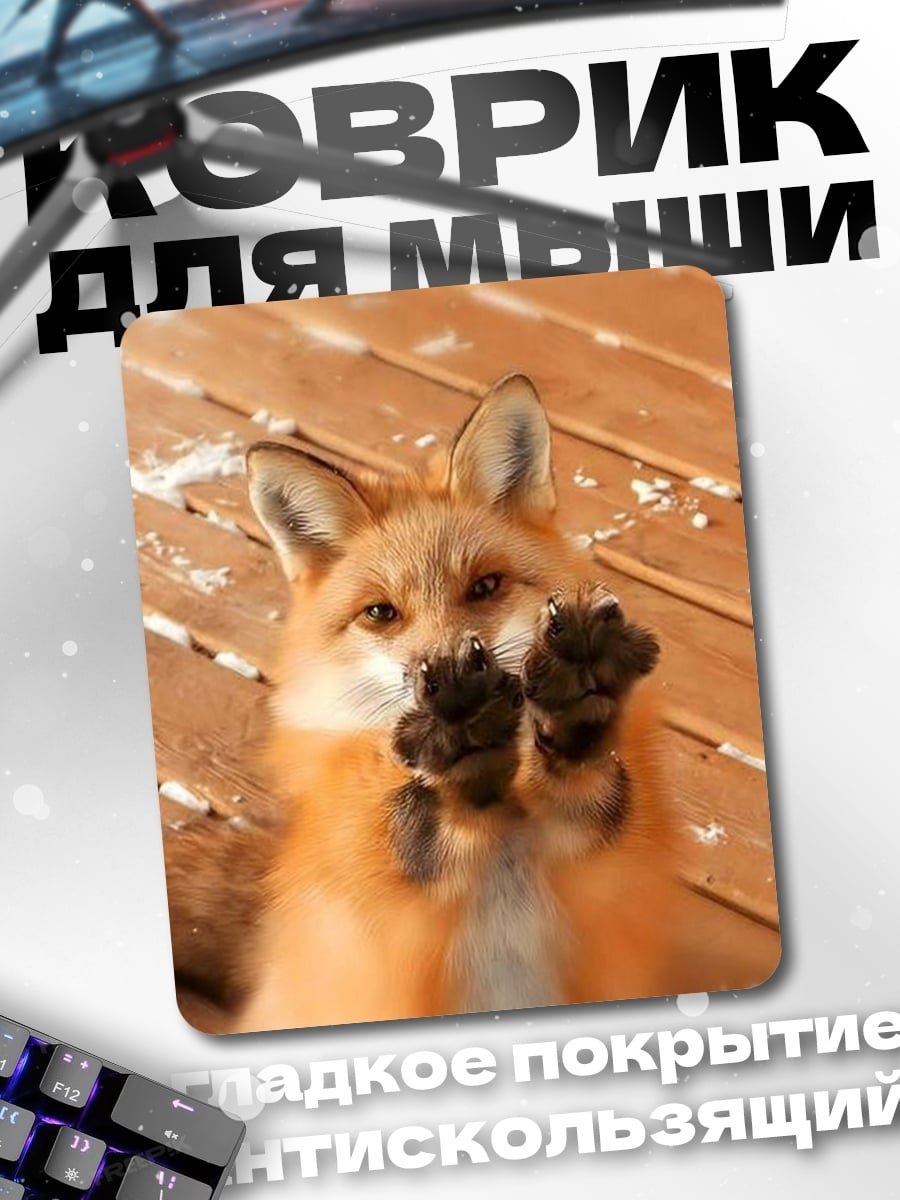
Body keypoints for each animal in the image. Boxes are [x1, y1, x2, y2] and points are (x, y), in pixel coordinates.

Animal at [165, 373, 688, 1033]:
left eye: (485, 586)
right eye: (381, 612)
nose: (450, 678)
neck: (506, 816)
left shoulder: (606, 870)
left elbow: (591, 785)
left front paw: (574, 711)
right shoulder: (378, 908)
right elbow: (413, 824)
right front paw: (460, 745)